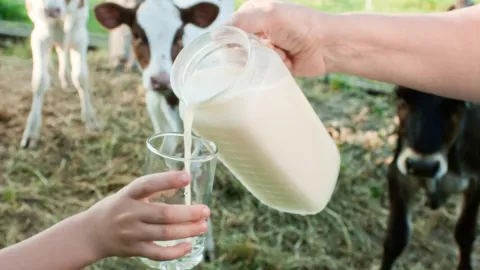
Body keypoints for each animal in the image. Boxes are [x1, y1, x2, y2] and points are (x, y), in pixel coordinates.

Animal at [22, 0, 101, 148]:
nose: (51, 11)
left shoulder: (80, 35)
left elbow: (81, 77)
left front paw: (90, 119)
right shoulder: (39, 36)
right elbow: (39, 80)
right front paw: (31, 130)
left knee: (62, 50)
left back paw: (66, 80)